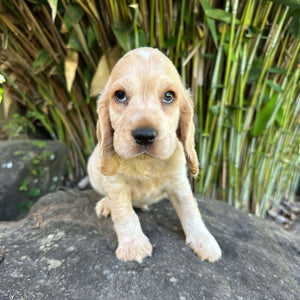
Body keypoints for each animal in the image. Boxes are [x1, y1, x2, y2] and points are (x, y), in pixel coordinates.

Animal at [88, 47, 221, 262]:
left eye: (168, 96)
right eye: (120, 95)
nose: (144, 135)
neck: (145, 163)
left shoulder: (179, 183)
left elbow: (191, 210)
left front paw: (205, 241)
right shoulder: (116, 185)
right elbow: (124, 214)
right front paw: (133, 245)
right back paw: (105, 204)